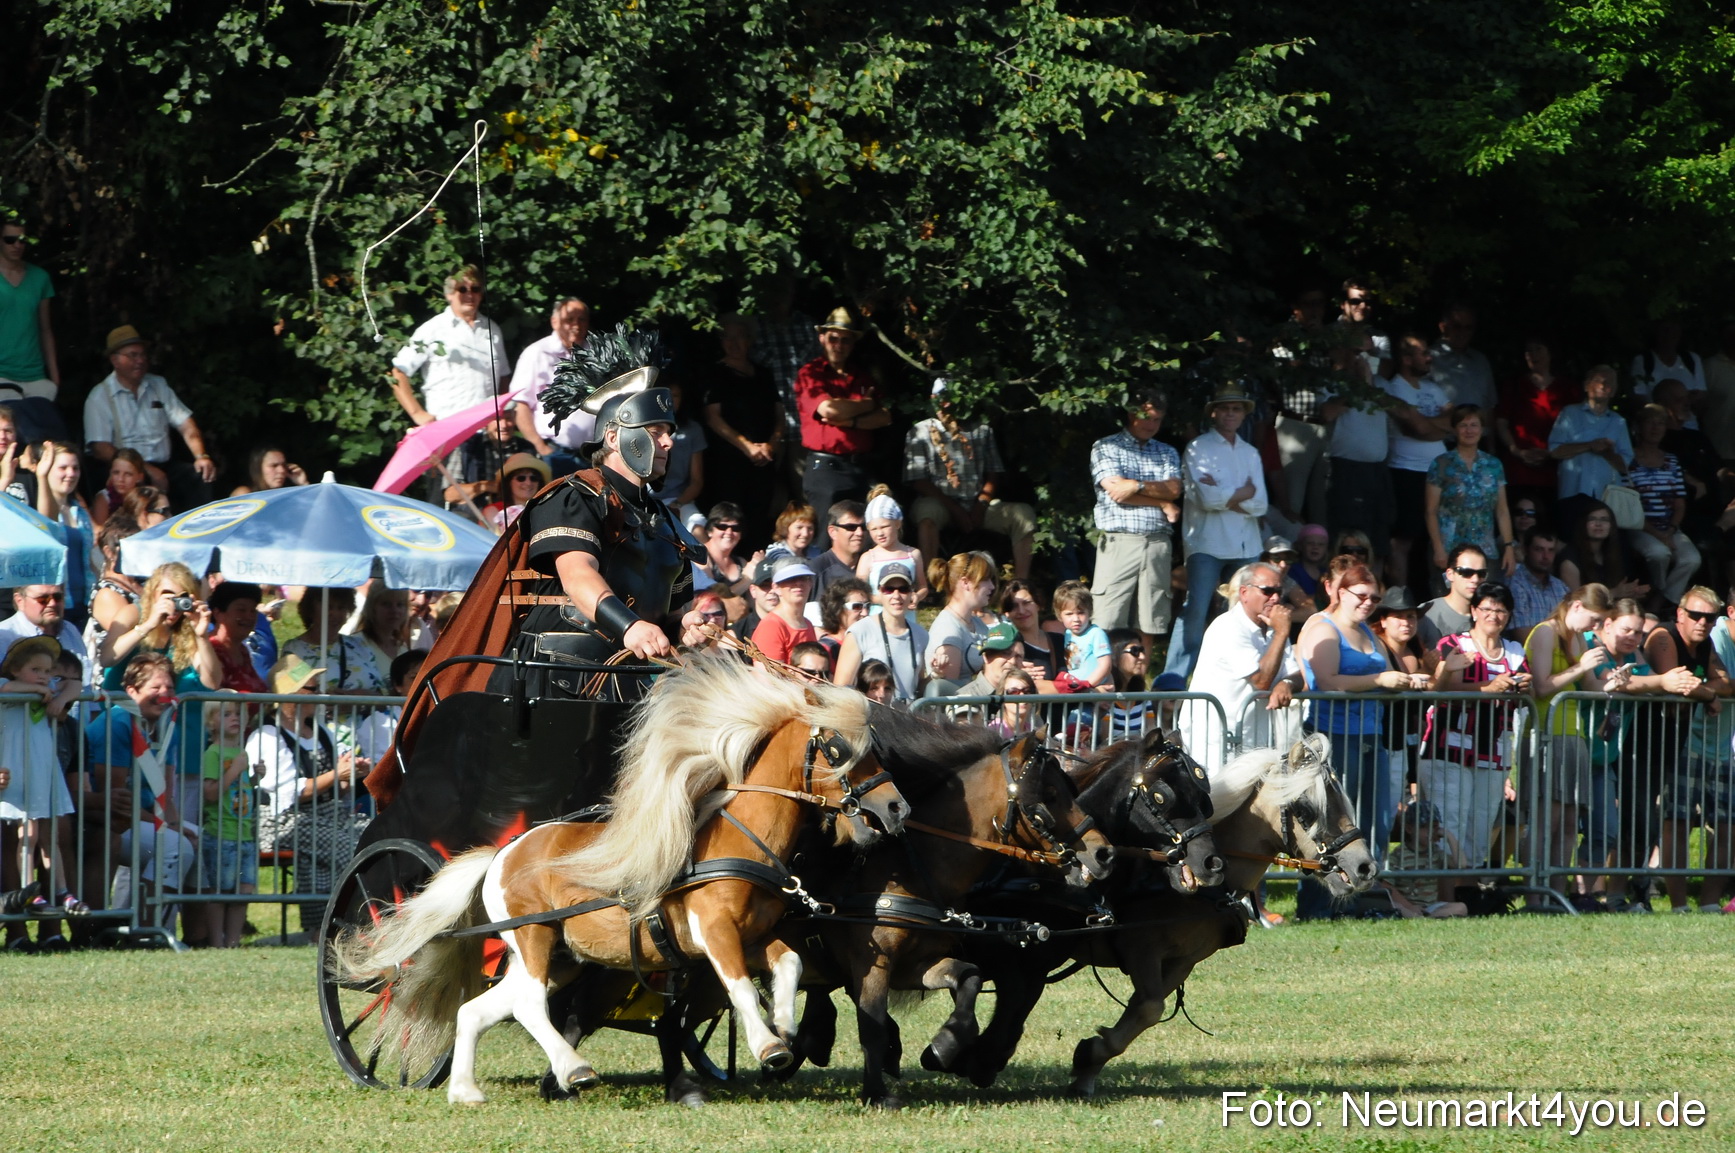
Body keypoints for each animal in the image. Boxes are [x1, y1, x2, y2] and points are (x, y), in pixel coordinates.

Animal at [327, 653, 908, 1104]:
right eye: (839, 749)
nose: (896, 807)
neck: (738, 840)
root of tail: (501, 854)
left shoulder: (754, 934)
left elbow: (787, 965)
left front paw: (784, 1029)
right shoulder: (712, 930)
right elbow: (740, 987)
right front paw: (768, 1046)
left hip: (558, 955)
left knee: (480, 1008)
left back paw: (467, 1090)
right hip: (533, 937)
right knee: (528, 1005)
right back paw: (573, 1069)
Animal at [781, 708, 1118, 1109]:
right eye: (1048, 796)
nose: (1104, 853)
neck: (908, 871)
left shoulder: (917, 963)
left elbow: (968, 978)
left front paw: (944, 1046)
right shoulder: (872, 965)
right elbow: (872, 1026)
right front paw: (877, 1093)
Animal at [954, 731, 1377, 1096]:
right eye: (1307, 809)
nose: (1364, 867)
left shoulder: (1183, 960)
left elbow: (1146, 1010)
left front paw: (1089, 1062)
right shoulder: (1139, 946)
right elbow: (1149, 1007)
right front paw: (1085, 1056)